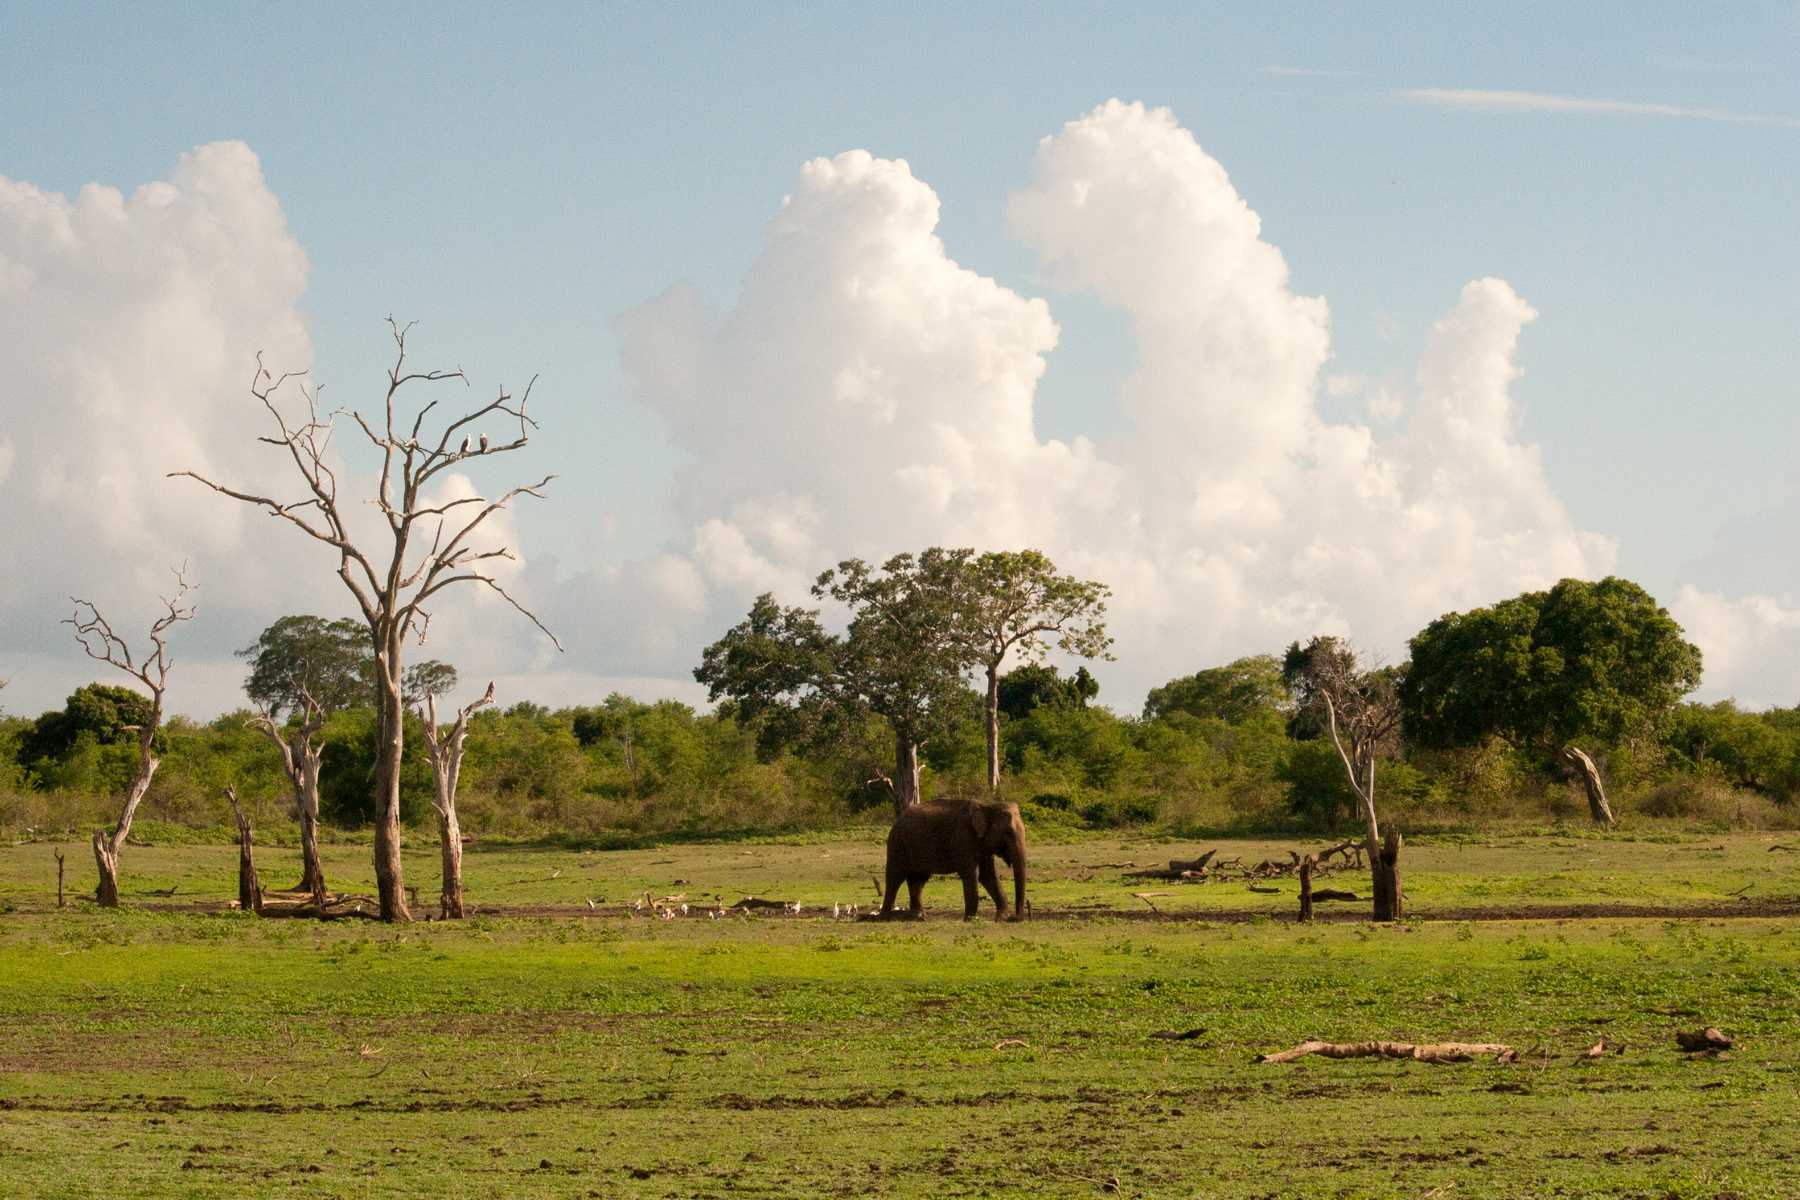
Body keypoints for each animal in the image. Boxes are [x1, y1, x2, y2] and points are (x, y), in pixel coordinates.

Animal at [882, 802, 1029, 928]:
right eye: (1008, 832)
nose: (1014, 919)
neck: (986, 806)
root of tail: (897, 820)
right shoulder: (962, 838)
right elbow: (971, 874)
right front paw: (971, 920)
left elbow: (987, 875)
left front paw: (1000, 918)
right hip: (897, 843)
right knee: (895, 877)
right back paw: (885, 917)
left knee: (918, 880)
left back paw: (918, 917)